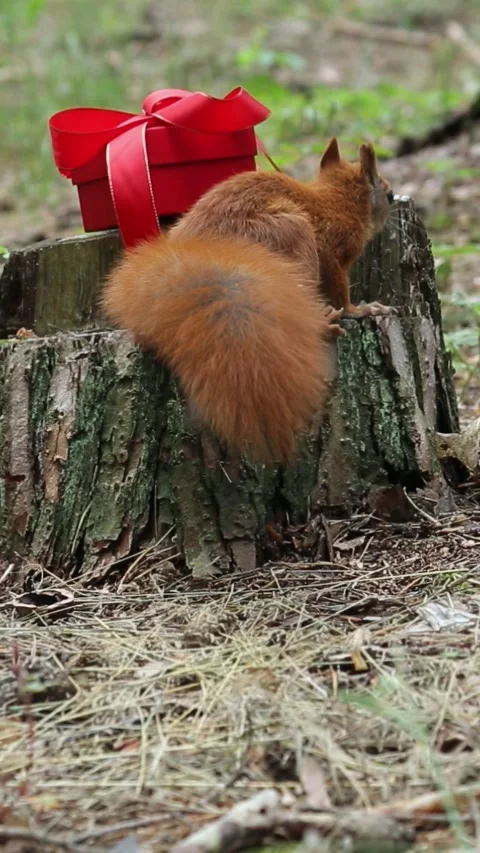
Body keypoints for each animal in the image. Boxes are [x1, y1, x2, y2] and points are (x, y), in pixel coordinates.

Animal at [102, 137, 395, 463]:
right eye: (389, 194)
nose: (392, 207)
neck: (337, 199)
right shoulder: (332, 251)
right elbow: (341, 292)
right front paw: (360, 310)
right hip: (291, 234)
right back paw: (321, 322)